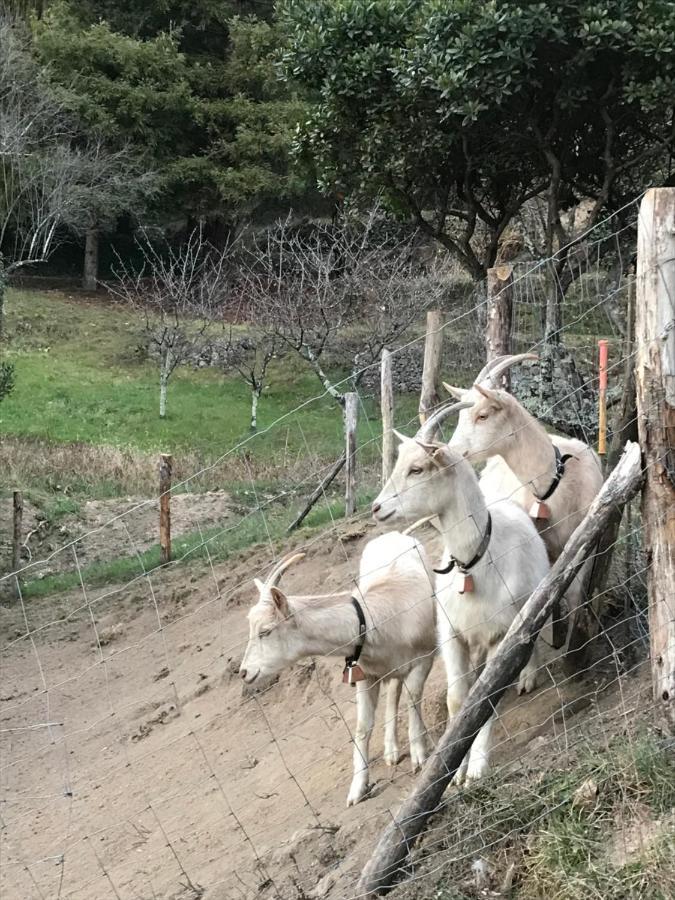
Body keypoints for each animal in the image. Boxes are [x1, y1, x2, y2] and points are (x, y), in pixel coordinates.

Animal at [240, 536, 436, 808]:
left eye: (266, 631)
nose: (244, 672)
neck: (377, 618)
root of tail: (393, 534)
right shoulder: (367, 676)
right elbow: (363, 727)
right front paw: (357, 790)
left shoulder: (424, 658)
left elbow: (413, 699)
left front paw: (420, 755)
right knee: (394, 690)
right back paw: (391, 751)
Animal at [372, 404, 552, 784]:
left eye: (417, 468)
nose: (377, 508)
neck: (475, 562)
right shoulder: (452, 633)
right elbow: (459, 699)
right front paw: (453, 768)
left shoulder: (500, 632)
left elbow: (486, 697)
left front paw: (476, 769)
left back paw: (528, 676)